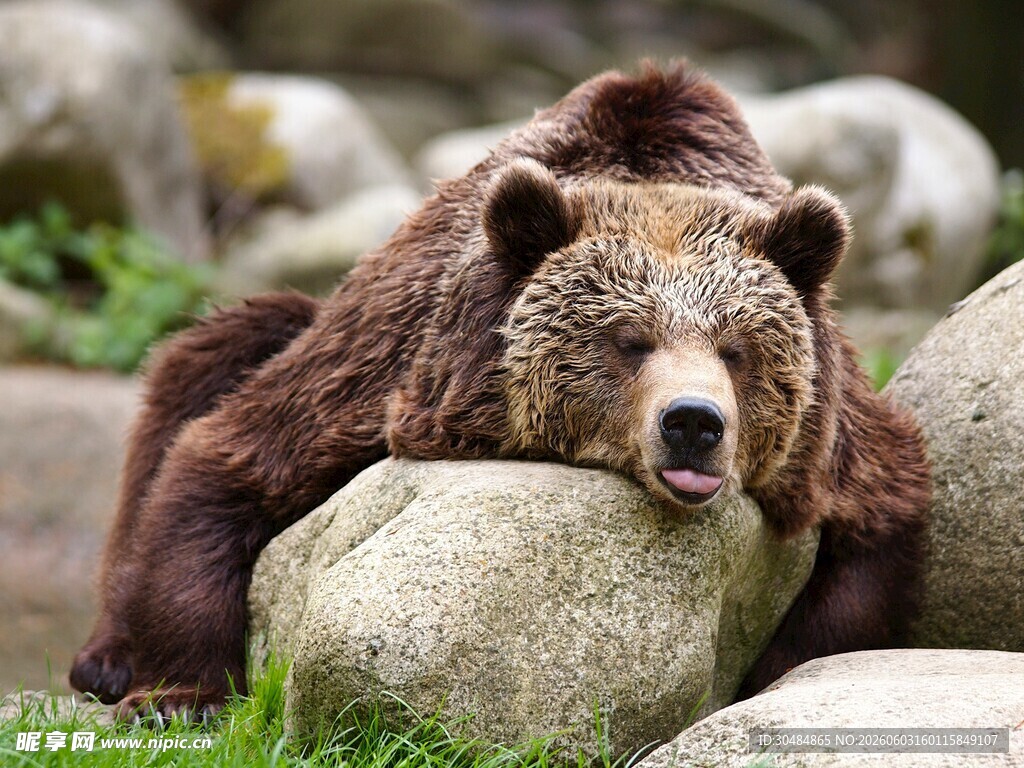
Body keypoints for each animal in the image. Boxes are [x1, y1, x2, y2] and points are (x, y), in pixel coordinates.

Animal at [70, 62, 930, 721]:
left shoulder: (829, 441)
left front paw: (765, 673)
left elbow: (873, 536)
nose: (693, 423)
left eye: (736, 349)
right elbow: (228, 458)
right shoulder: (393, 370)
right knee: (213, 356)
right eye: (630, 341)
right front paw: (177, 694)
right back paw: (105, 659)